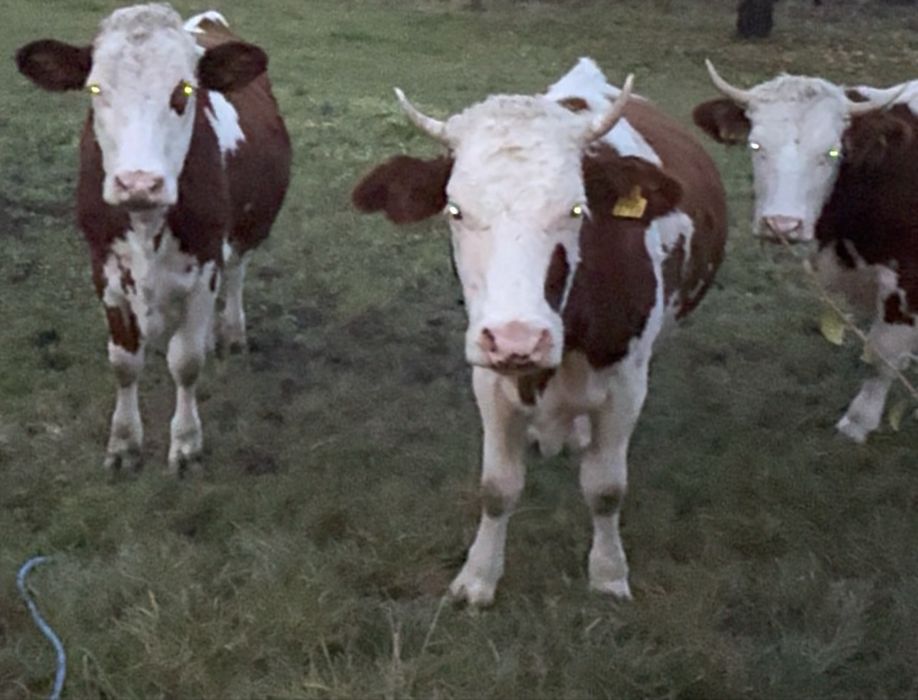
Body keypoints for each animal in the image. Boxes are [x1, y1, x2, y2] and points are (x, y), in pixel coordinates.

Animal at [15, 4, 291, 473]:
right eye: (94, 87)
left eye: (185, 88)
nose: (138, 183)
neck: (147, 224)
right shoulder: (104, 269)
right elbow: (125, 362)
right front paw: (125, 442)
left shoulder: (205, 264)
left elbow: (187, 361)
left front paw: (186, 443)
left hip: (247, 230)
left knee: (238, 271)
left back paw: (231, 332)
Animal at [352, 58, 728, 605]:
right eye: (455, 209)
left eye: (575, 208)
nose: (517, 339)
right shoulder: (488, 377)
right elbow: (497, 487)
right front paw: (478, 578)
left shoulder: (626, 385)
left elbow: (606, 488)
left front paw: (608, 574)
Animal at [693, 60, 916, 443]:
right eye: (755, 144)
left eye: (832, 152)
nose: (782, 225)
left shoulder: (905, 284)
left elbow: (882, 354)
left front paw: (859, 421)